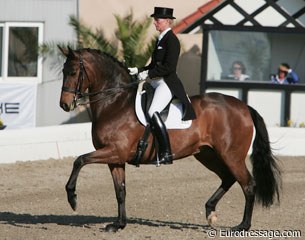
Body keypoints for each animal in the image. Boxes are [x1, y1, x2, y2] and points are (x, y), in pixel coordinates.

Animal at [57, 46, 280, 232]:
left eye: (73, 72)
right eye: (63, 72)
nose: (65, 105)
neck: (115, 103)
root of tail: (244, 106)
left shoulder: (115, 151)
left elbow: (80, 160)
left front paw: (72, 198)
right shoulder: (116, 158)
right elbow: (120, 191)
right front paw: (118, 225)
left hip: (231, 155)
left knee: (248, 185)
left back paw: (242, 226)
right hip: (207, 154)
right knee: (228, 178)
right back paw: (210, 212)